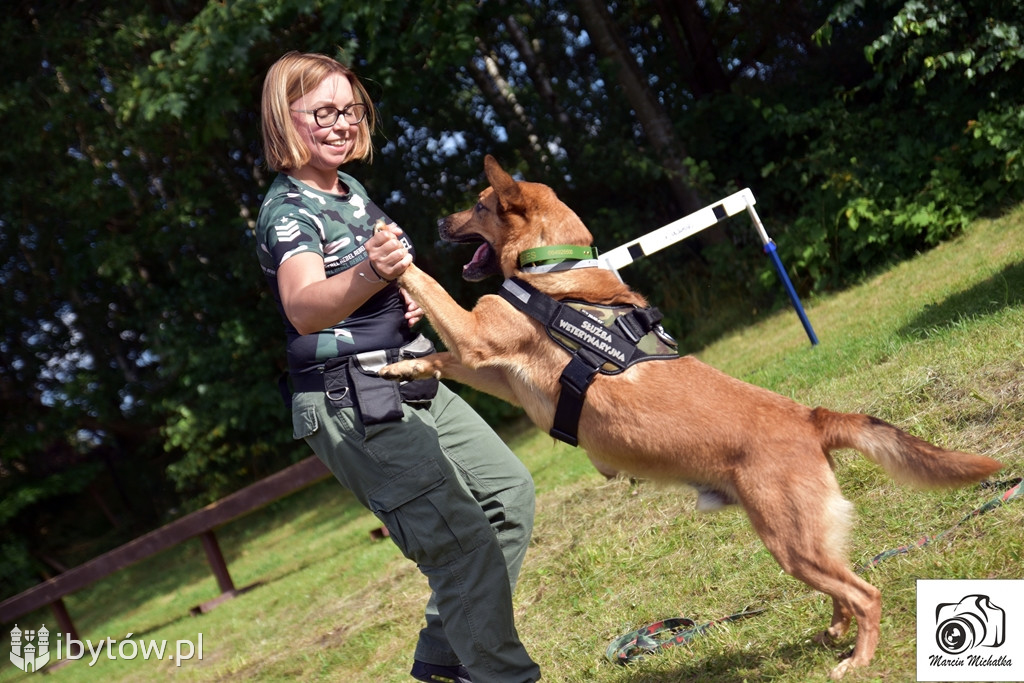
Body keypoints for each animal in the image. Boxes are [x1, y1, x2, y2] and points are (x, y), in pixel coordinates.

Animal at [382, 156, 999, 679]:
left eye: (479, 204)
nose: (437, 221)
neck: (553, 268)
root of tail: (811, 418)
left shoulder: (477, 339)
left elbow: (428, 286)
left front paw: (389, 257)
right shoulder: (489, 369)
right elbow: (439, 359)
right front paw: (400, 368)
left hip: (790, 543)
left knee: (865, 594)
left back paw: (857, 659)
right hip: (806, 543)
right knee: (844, 590)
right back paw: (832, 633)